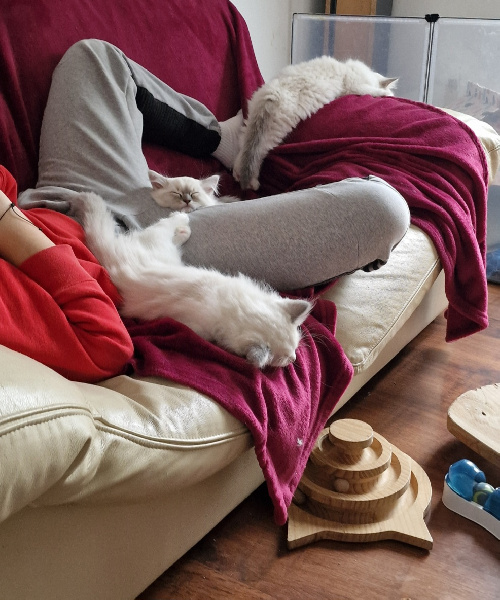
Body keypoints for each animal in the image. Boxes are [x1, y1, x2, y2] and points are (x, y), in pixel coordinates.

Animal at [75, 192, 310, 368]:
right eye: (284, 358)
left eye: (295, 347)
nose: (294, 359)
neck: (235, 307)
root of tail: (112, 257)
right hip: (157, 240)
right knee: (166, 222)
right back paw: (183, 219)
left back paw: (183, 231)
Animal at [233, 55, 398, 190]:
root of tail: (270, 94)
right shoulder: (356, 87)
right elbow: (375, 92)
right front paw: (387, 94)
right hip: (275, 132)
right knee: (259, 152)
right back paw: (252, 183)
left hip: (250, 126)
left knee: (243, 150)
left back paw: (237, 174)